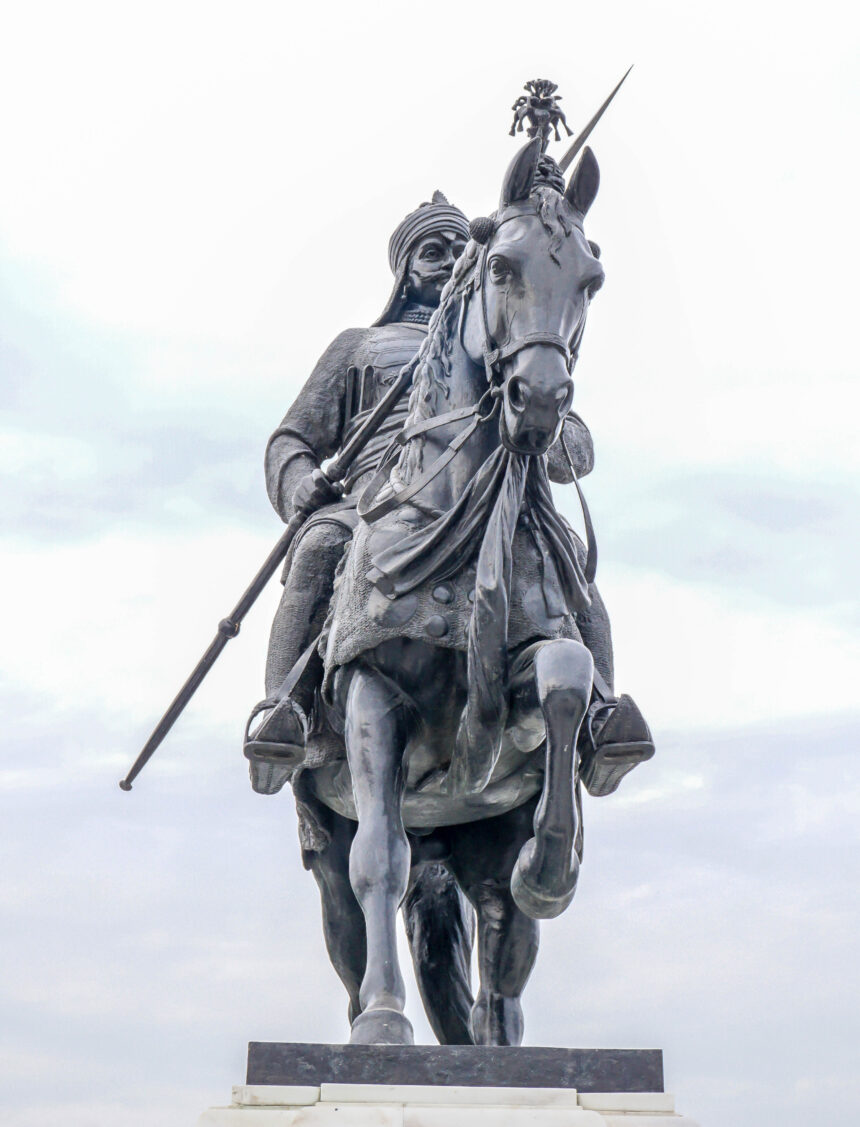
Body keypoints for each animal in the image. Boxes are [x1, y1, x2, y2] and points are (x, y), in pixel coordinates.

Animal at [302, 138, 626, 1045]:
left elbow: (564, 678)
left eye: (589, 278)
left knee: (502, 948)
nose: (540, 399)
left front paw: (552, 868)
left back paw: (499, 1037)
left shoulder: (530, 671)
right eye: (504, 265)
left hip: (478, 839)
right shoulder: (370, 692)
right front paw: (383, 1020)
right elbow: (379, 857)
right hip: (324, 825)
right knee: (349, 902)